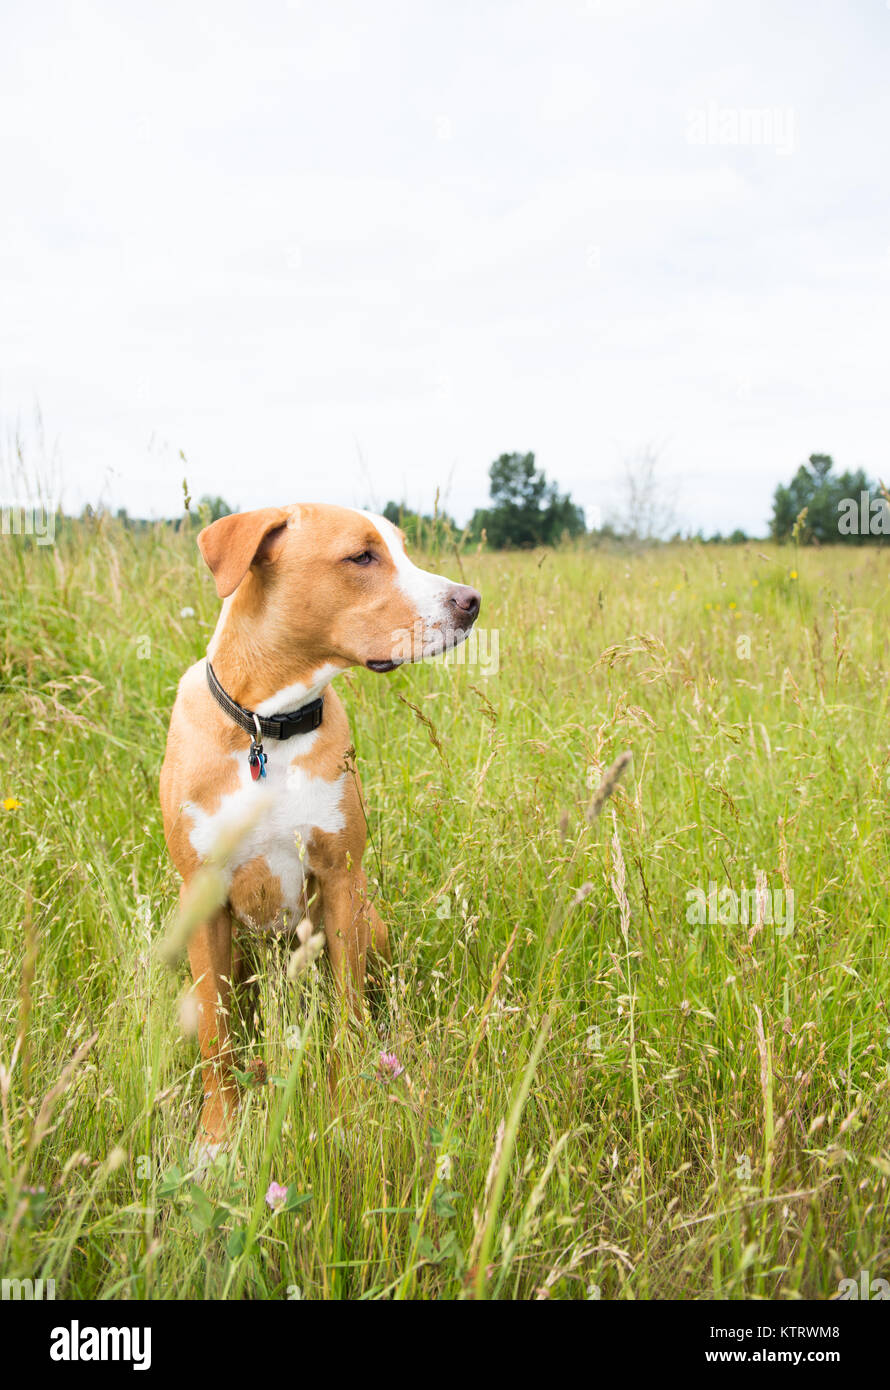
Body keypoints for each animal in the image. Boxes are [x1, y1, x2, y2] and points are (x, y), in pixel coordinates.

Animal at [159, 505, 478, 1145]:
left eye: (402, 549)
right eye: (361, 556)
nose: (471, 601)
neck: (268, 726)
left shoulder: (340, 879)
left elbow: (349, 1015)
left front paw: (349, 1107)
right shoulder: (203, 896)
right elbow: (216, 1038)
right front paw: (216, 1138)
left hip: (371, 921)